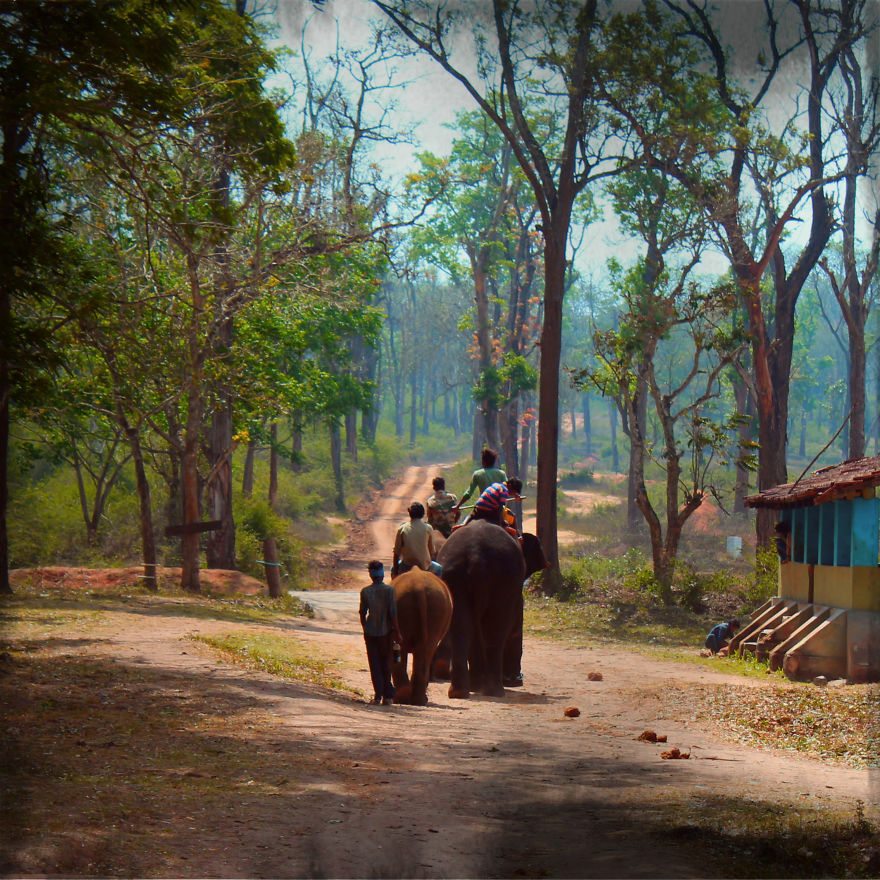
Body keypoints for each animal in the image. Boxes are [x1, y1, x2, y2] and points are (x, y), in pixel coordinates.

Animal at [436, 520, 547, 698]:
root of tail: (476, 556)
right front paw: (514, 681)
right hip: (503, 578)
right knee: (496, 626)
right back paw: (495, 691)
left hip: (452, 575)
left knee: (462, 626)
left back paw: (462, 691)